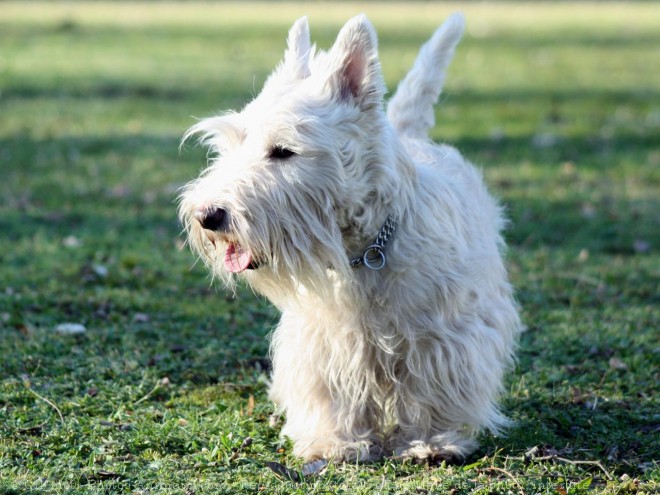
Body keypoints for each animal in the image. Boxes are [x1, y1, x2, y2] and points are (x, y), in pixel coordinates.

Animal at [179, 14, 520, 464]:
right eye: (231, 144)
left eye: (283, 151)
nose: (208, 216)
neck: (363, 252)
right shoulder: (321, 339)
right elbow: (330, 390)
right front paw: (334, 442)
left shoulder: (441, 333)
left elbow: (433, 384)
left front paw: (431, 440)